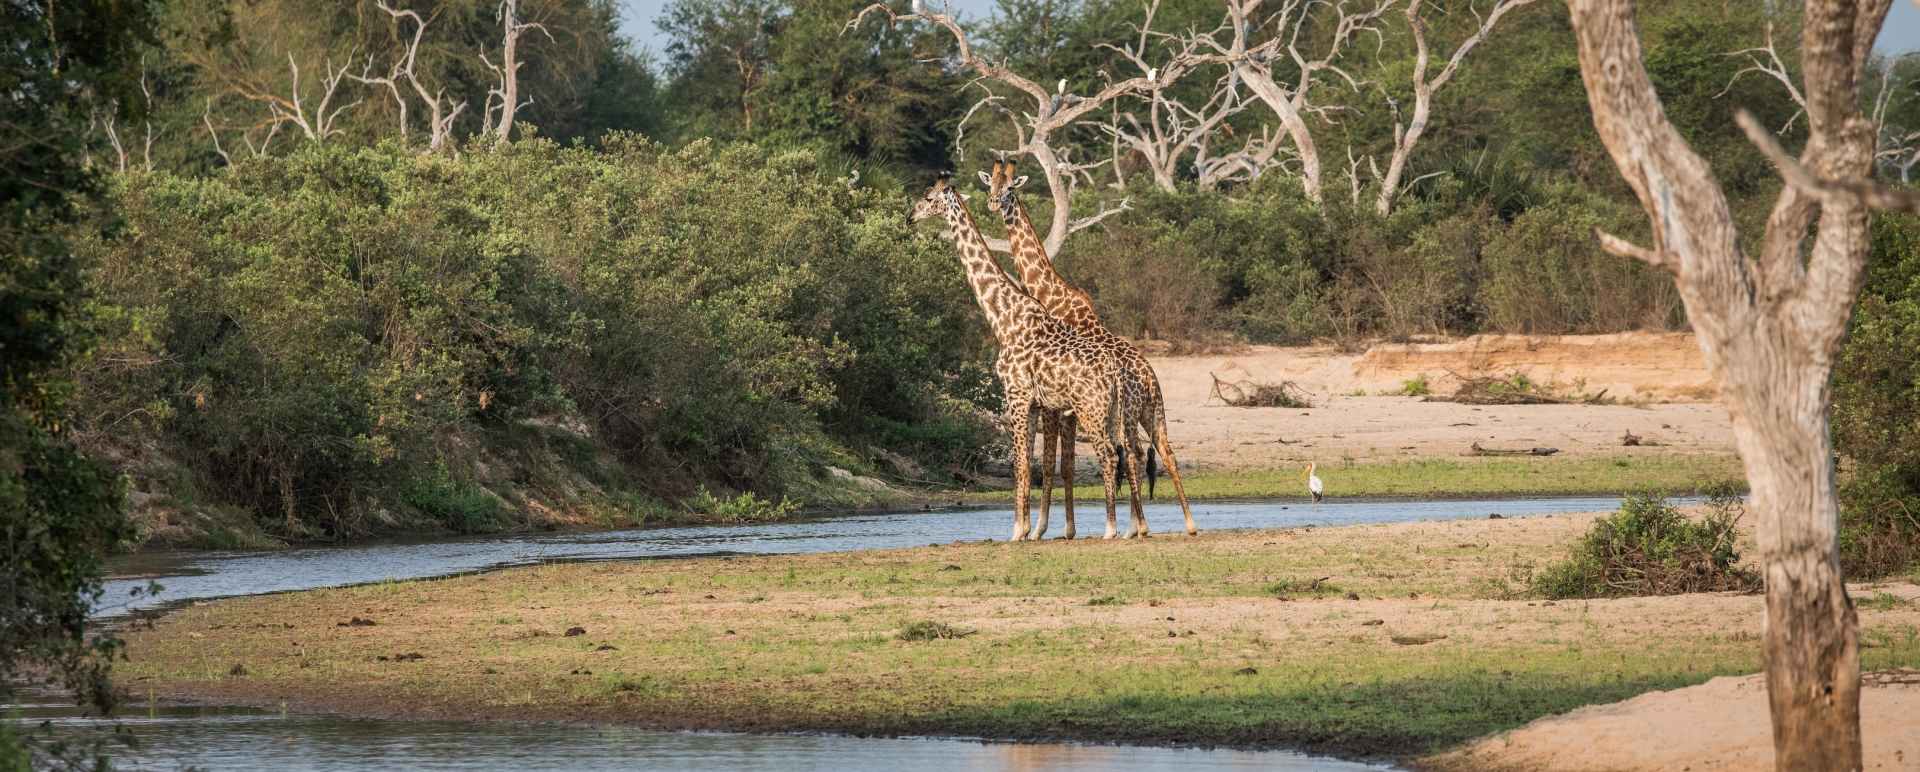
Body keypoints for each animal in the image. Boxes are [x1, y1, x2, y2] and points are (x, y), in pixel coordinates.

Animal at [909, 173, 1148, 540]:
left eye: (928, 197)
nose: (910, 217)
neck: (1003, 318)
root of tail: (1117, 373)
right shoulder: (1036, 403)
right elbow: (1031, 465)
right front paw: (1027, 528)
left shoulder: (1017, 396)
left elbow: (1020, 464)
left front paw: (1018, 531)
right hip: (1112, 413)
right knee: (1127, 455)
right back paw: (1132, 528)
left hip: (1091, 411)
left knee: (1109, 456)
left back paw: (1111, 529)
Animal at [981, 158, 1198, 537]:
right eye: (989, 185)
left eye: (1010, 189)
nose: (994, 204)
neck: (1051, 295)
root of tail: (1150, 378)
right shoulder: (1064, 406)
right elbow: (1064, 463)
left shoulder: (1057, 406)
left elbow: (1055, 463)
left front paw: (1042, 529)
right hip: (1150, 411)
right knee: (1158, 452)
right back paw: (1177, 524)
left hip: (1126, 413)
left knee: (1131, 454)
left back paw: (1138, 526)